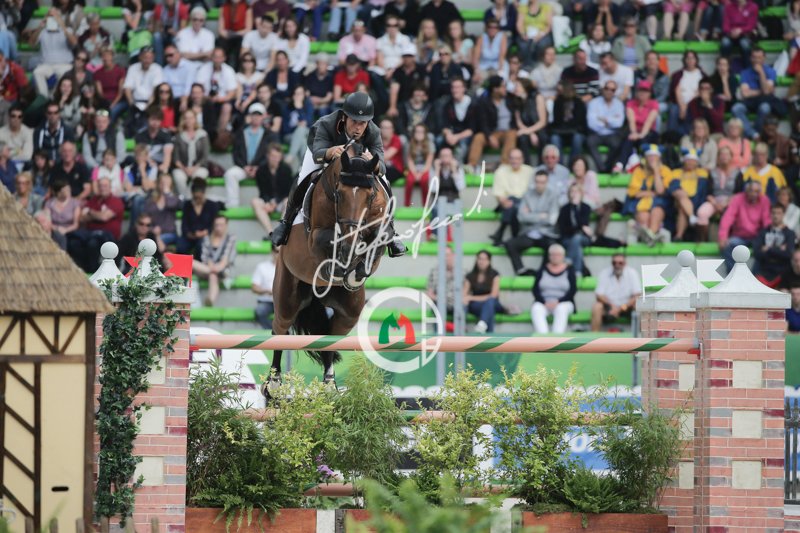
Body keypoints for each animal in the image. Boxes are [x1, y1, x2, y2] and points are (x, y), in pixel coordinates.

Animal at [263, 152, 391, 397]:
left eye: (370, 196)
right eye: (339, 194)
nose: (350, 242)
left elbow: (379, 238)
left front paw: (354, 272)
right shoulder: (316, 237)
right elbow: (329, 239)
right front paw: (340, 266)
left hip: (349, 312)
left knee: (330, 339)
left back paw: (330, 384)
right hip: (287, 296)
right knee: (279, 329)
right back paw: (273, 382)